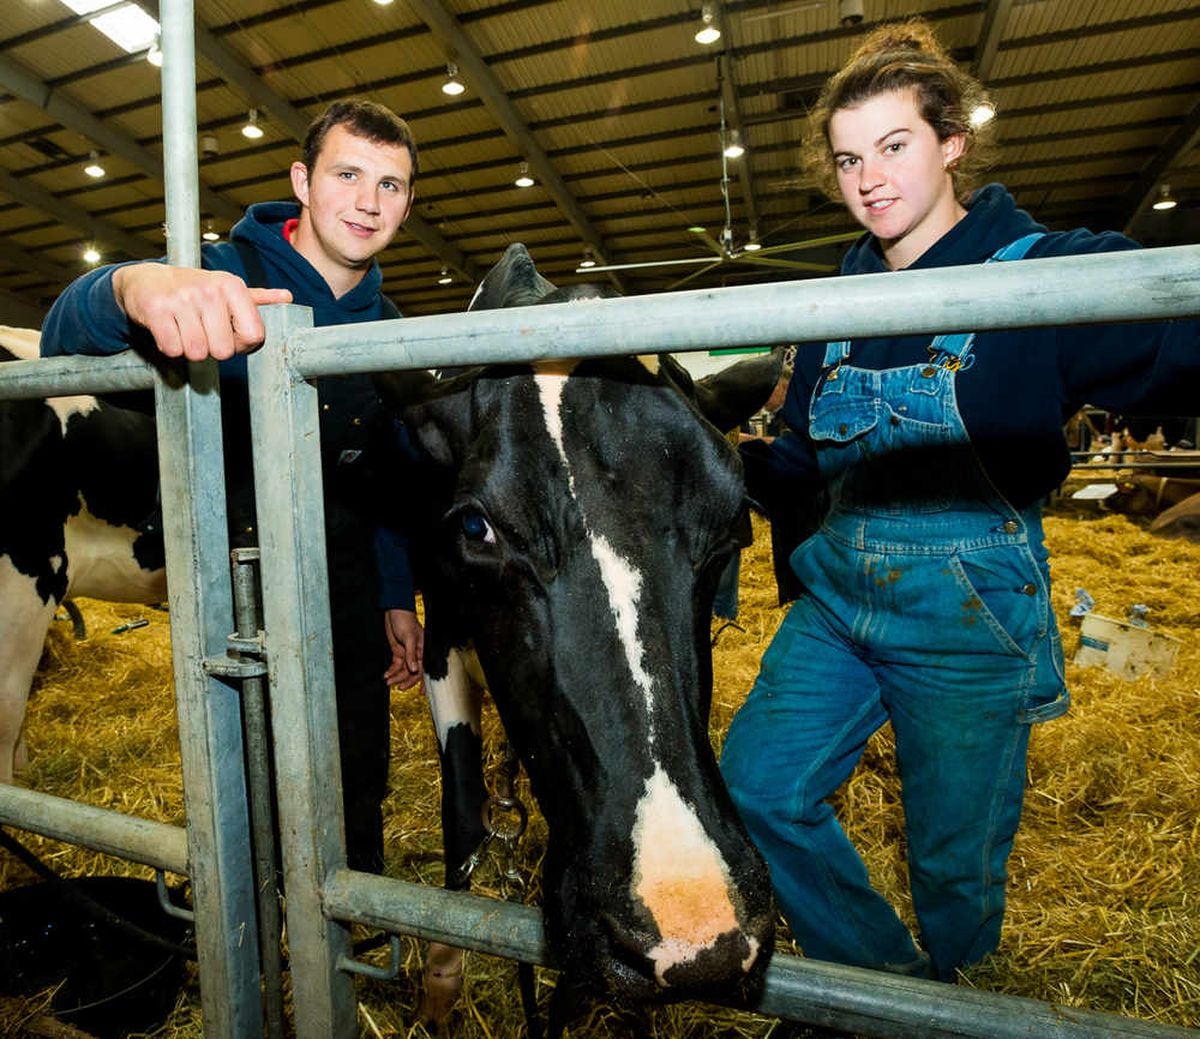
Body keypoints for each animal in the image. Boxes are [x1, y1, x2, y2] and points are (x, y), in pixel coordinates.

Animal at [379, 244, 782, 1027]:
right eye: (473, 525)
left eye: (733, 525)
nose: (697, 937)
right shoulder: (440, 636)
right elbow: (463, 817)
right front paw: (441, 981)